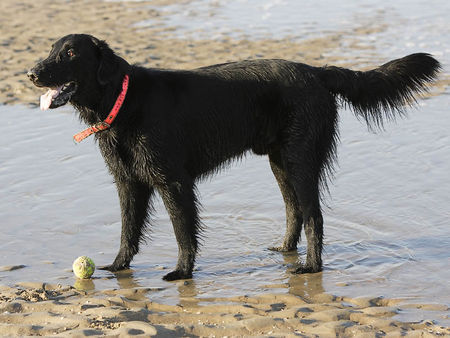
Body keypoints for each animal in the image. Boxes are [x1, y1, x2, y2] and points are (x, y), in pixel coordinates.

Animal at [27, 34, 440, 282]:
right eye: (50, 50)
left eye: (70, 53)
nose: (31, 73)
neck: (125, 102)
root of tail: (316, 72)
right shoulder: (129, 183)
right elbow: (128, 231)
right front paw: (118, 267)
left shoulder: (174, 181)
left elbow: (183, 232)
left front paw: (182, 273)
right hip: (280, 162)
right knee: (294, 210)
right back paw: (285, 251)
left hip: (301, 159)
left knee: (314, 215)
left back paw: (309, 267)